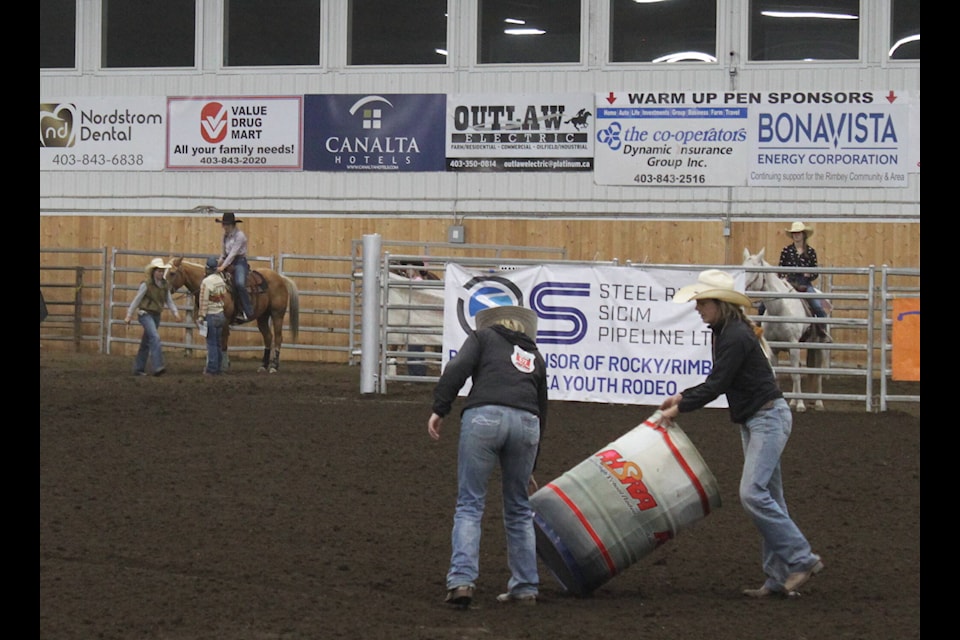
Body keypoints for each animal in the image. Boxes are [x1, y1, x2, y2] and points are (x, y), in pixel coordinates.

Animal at [165, 256, 298, 372]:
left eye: (172, 273)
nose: (164, 289)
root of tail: (280, 278)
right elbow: (211, 344)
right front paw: (210, 366)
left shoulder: (224, 322)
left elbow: (223, 343)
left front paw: (224, 365)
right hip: (263, 316)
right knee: (268, 337)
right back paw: (263, 366)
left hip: (277, 314)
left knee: (278, 337)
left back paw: (274, 366)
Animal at [744, 248, 824, 412]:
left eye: (754, 270)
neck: (780, 310)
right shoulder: (774, 348)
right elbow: (777, 376)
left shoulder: (793, 345)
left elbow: (796, 375)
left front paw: (801, 405)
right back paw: (793, 401)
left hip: (819, 346)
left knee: (818, 373)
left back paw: (819, 403)